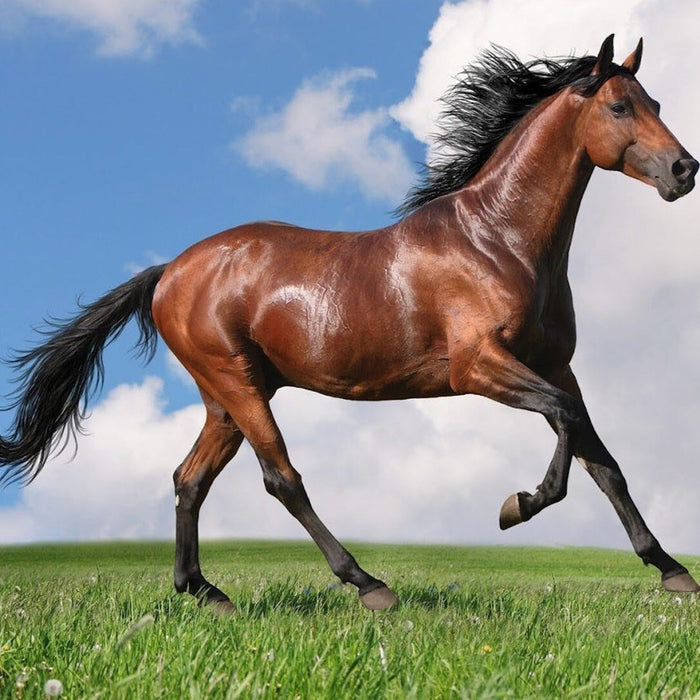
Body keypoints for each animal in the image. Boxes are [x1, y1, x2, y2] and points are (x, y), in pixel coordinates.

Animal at [1, 35, 698, 613]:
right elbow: (564, 422)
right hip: (237, 385)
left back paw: (205, 592)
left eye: (656, 101)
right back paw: (368, 584)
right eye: (619, 108)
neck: (498, 240)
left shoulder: (557, 366)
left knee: (190, 479)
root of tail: (170, 270)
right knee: (281, 478)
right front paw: (516, 507)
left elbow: (601, 458)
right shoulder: (480, 367)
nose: (684, 170)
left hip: (225, 398)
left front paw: (670, 570)